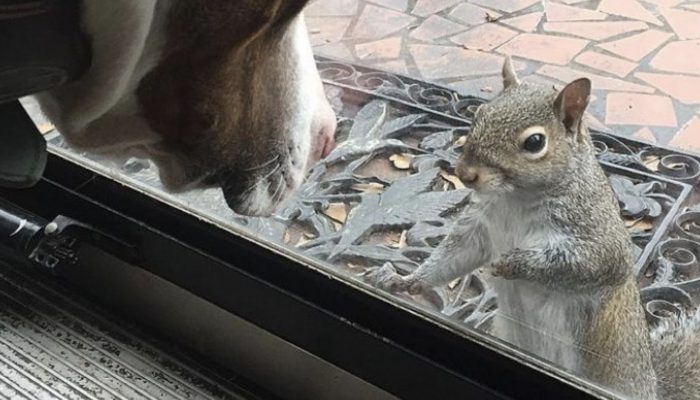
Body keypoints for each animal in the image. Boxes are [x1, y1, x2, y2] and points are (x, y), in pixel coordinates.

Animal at [366, 57, 700, 400]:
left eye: (535, 142)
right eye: (480, 114)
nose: (466, 174)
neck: (516, 198)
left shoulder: (596, 234)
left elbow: (587, 264)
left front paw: (511, 263)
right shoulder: (480, 228)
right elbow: (453, 256)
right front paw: (406, 280)